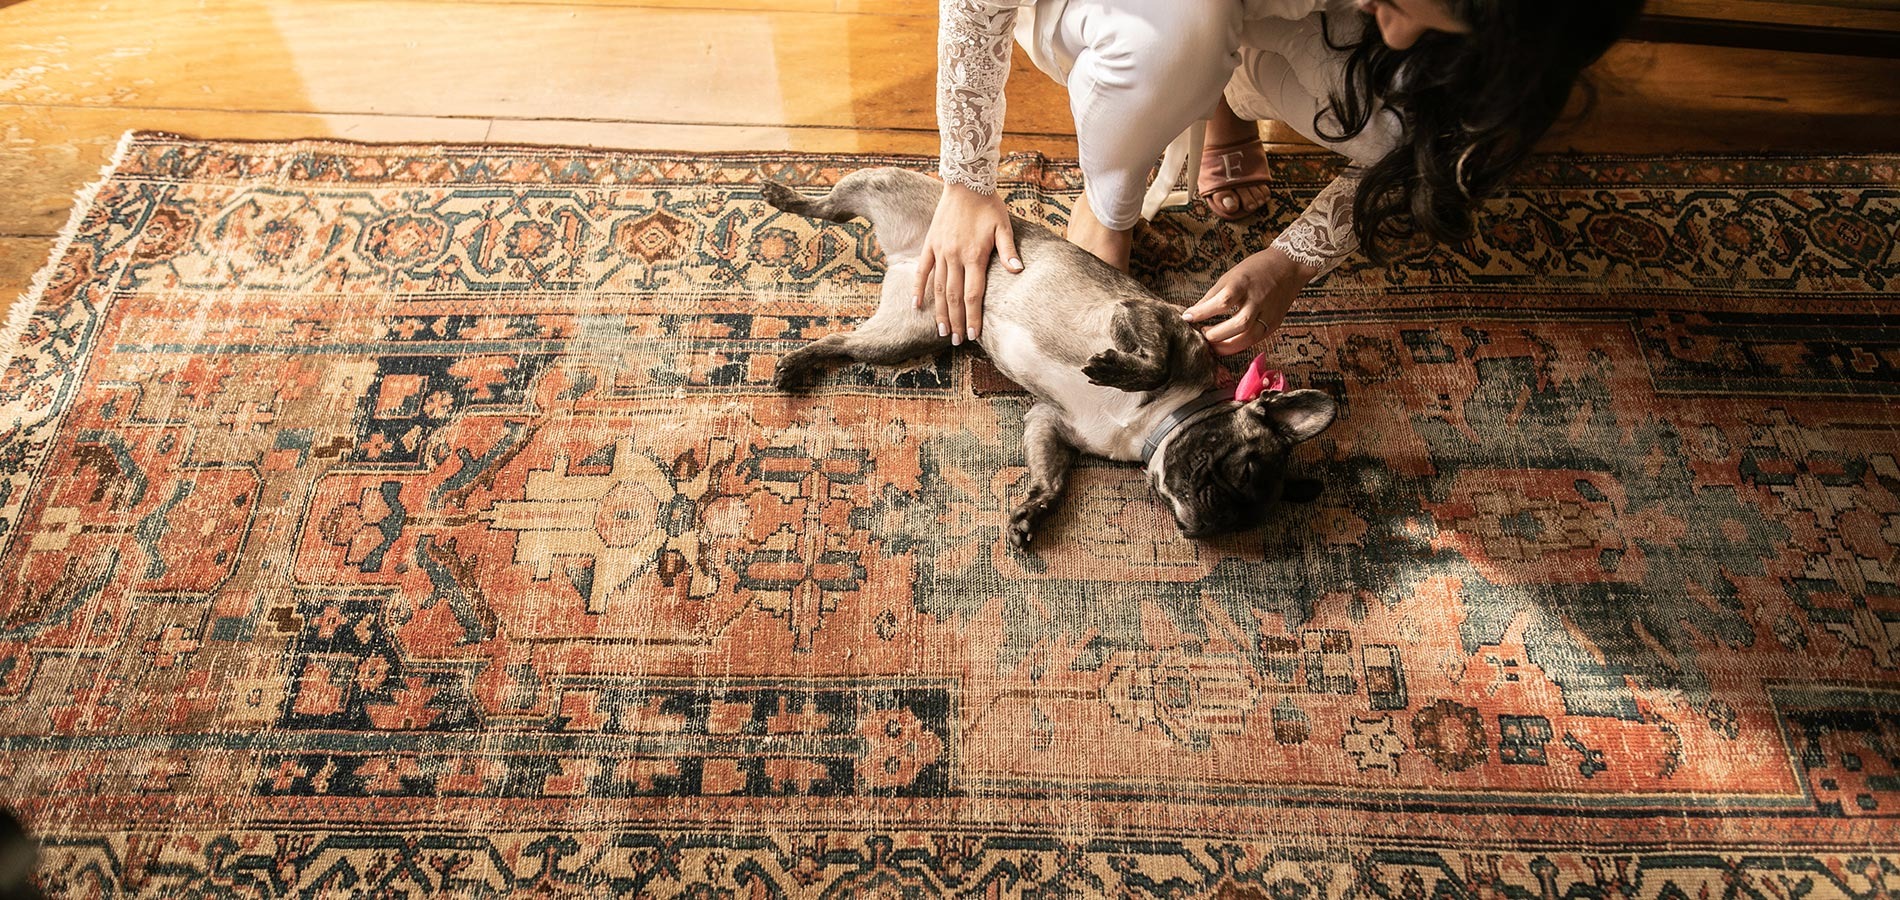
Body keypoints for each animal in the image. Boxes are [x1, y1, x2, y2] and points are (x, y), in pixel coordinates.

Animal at [761, 168, 1336, 549]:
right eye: (1241, 468)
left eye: (1240, 522)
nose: (1206, 524)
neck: (1157, 421)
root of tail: (905, 256)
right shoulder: (1144, 316)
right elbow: (1153, 360)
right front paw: (1115, 369)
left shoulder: (1049, 424)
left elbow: (1052, 479)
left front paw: (1031, 514)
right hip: (879, 187)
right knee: (830, 207)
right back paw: (785, 195)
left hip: (906, 333)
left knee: (842, 342)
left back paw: (795, 364)